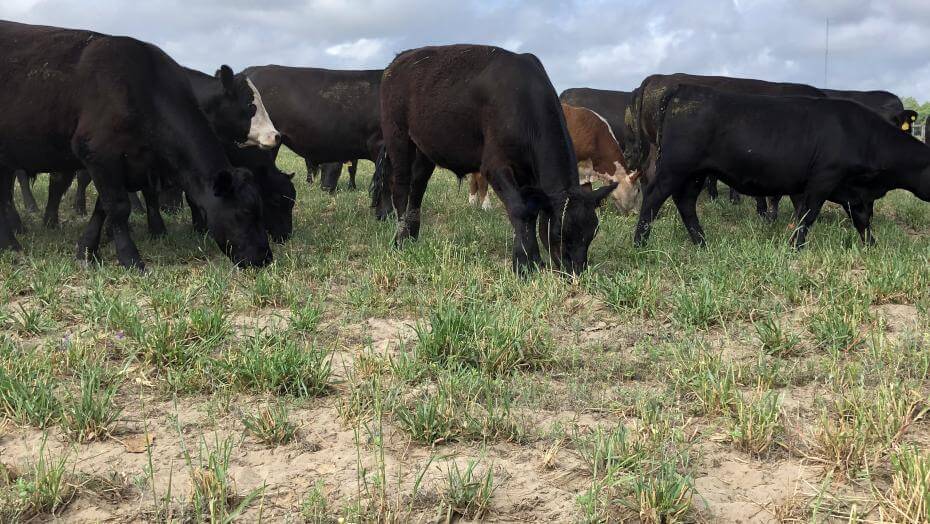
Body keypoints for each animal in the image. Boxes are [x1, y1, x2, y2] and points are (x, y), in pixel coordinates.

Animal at [0, 21, 272, 269]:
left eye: (261, 211)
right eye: (245, 213)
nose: (264, 258)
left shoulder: (125, 164)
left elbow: (104, 207)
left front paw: (87, 251)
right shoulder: (98, 153)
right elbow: (118, 207)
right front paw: (130, 258)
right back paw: (13, 243)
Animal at [376, 44, 616, 275]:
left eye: (593, 232)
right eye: (558, 232)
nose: (576, 271)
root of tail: (400, 59)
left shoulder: (528, 175)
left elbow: (531, 211)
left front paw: (530, 259)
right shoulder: (494, 166)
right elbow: (519, 209)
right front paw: (525, 264)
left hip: (425, 148)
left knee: (418, 187)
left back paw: (412, 236)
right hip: (397, 134)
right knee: (401, 188)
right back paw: (399, 240)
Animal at [633, 84, 930, 249]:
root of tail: (683, 89)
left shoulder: (854, 193)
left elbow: (862, 221)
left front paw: (872, 247)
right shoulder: (823, 179)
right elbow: (807, 216)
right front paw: (795, 248)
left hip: (695, 174)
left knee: (685, 203)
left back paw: (702, 243)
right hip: (675, 168)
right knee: (653, 198)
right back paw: (640, 244)